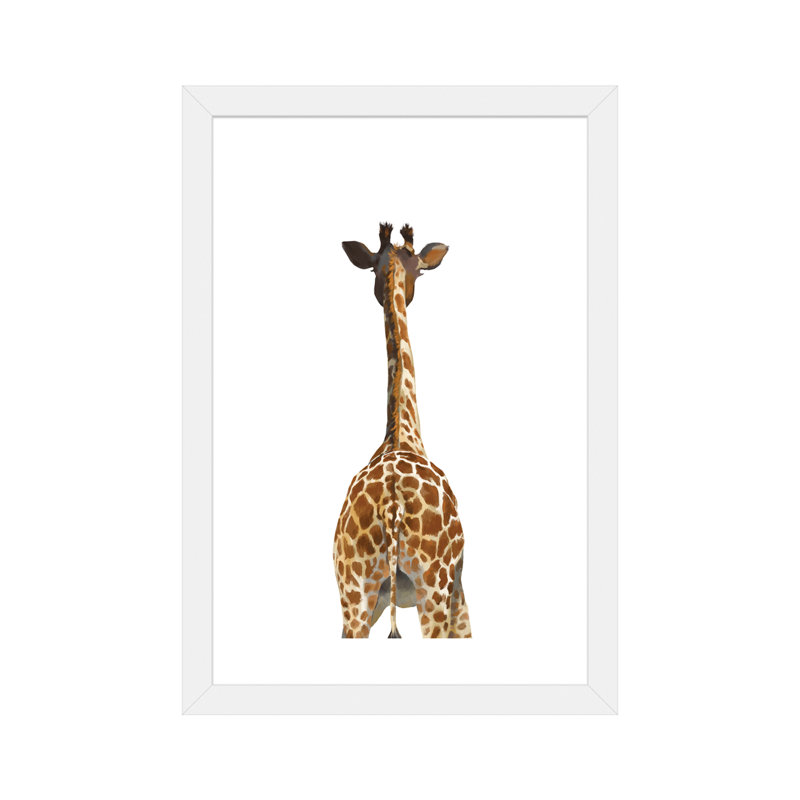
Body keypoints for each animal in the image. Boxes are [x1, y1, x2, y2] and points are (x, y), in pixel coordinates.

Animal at [333, 222, 472, 639]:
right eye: (421, 271)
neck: (403, 434)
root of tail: (391, 504)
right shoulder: (460, 591)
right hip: (434, 587)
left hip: (354, 595)